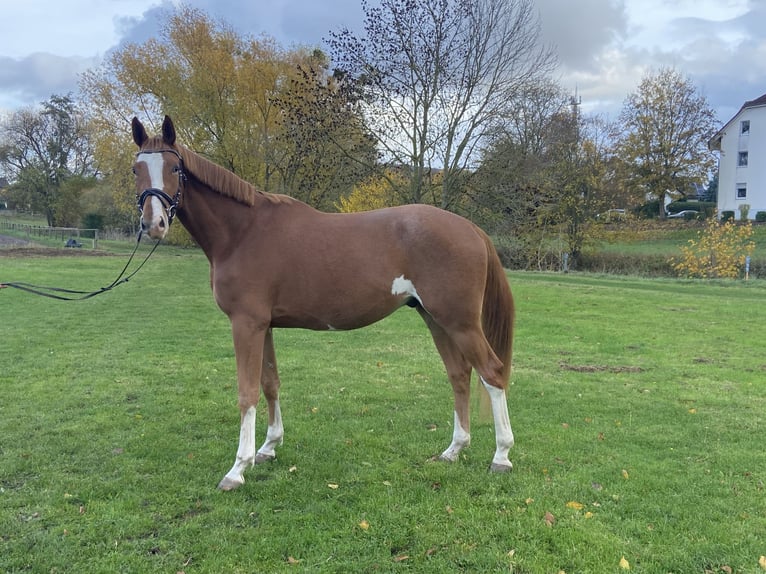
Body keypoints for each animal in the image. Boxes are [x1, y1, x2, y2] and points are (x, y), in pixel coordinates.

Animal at [131, 115, 515, 491]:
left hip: (460, 322)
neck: (242, 233)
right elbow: (270, 383)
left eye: (174, 168)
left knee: (492, 373)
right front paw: (269, 448)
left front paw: (238, 468)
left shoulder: (246, 324)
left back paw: (501, 457)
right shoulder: (264, 326)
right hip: (435, 319)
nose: (154, 223)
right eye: (136, 169)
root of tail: (471, 229)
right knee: (459, 375)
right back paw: (454, 451)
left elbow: (247, 392)